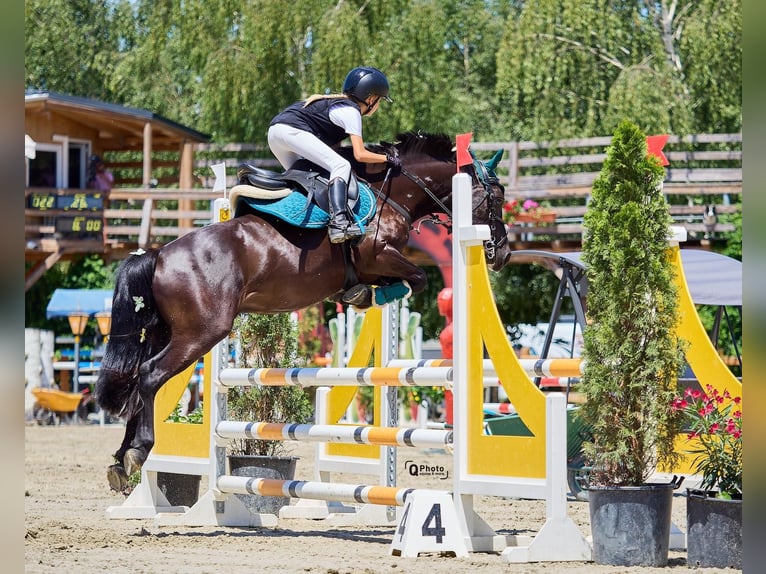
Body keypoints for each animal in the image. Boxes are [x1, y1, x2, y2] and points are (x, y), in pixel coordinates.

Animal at [99, 133, 512, 492]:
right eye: (497, 198)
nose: (502, 254)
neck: (391, 194)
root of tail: (159, 255)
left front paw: (361, 293)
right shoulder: (378, 254)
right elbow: (419, 277)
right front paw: (373, 295)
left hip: (167, 333)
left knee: (137, 382)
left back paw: (120, 460)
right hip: (201, 333)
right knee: (150, 376)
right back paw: (138, 451)